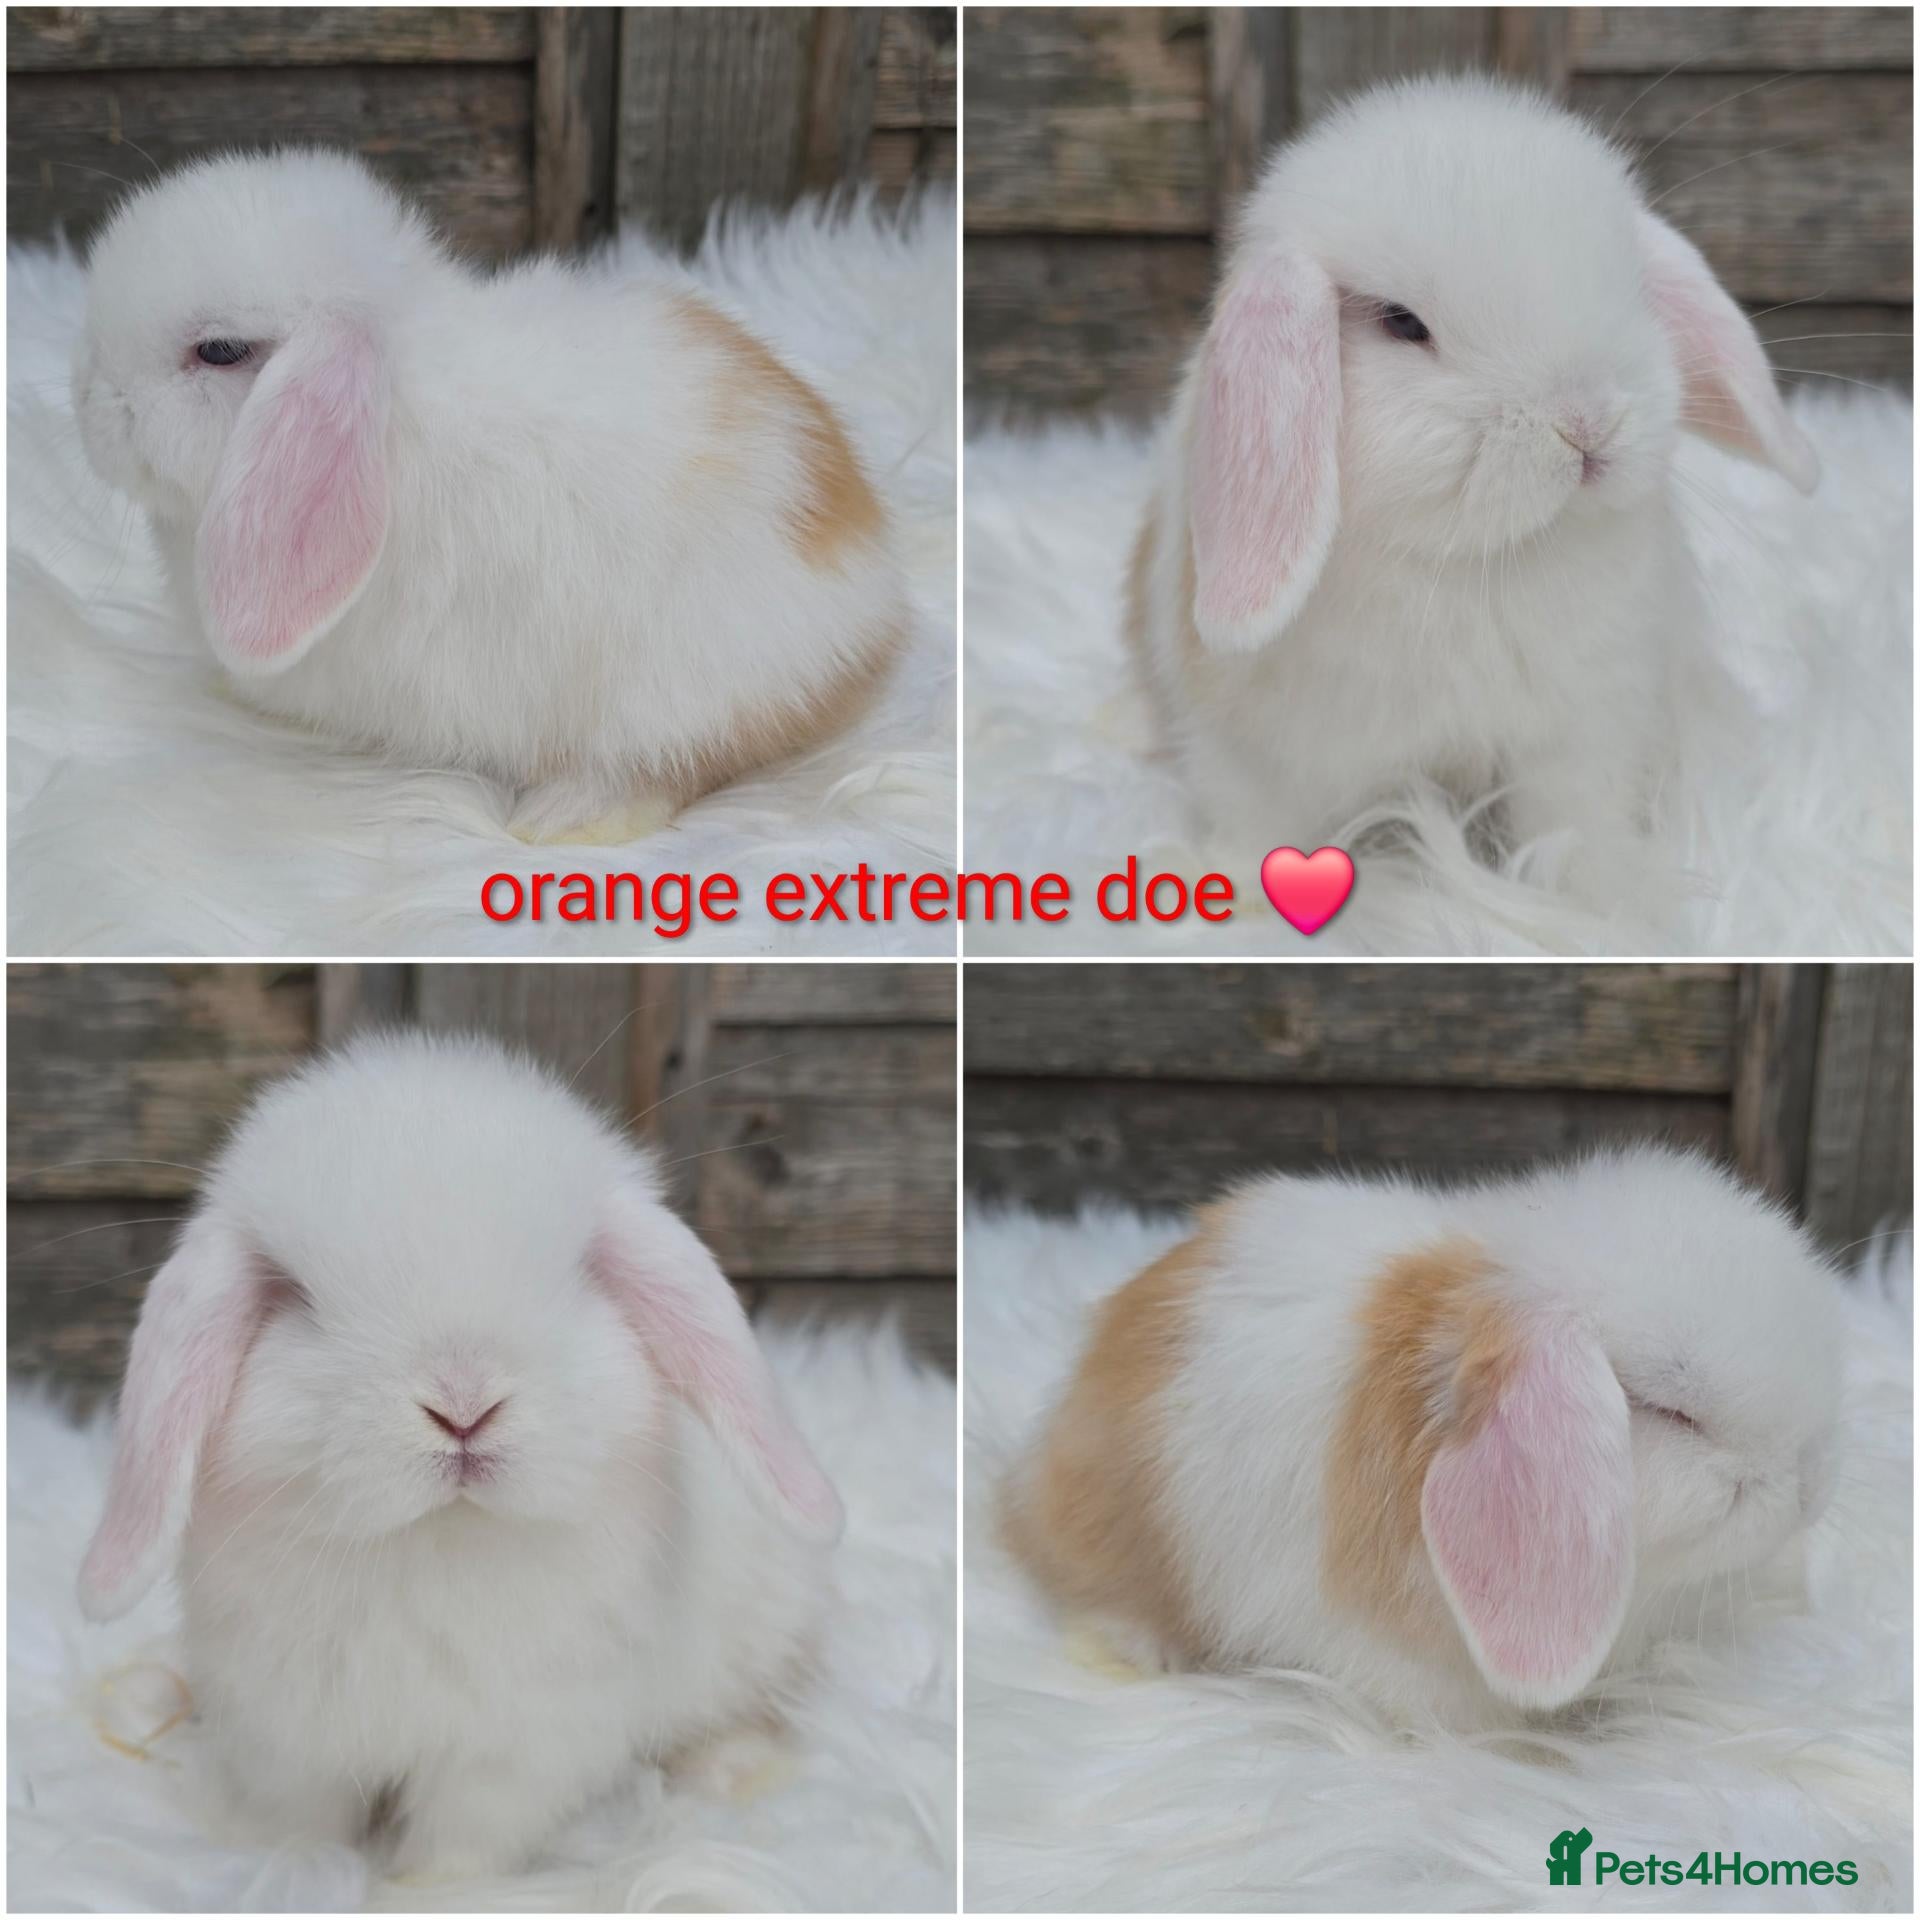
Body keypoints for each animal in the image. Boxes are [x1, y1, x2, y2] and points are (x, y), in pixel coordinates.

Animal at [72, 148, 909, 843]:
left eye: (218, 352)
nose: (89, 403)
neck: (396, 402)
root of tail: (872, 614)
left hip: (673, 691)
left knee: (679, 763)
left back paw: (567, 818)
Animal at [77, 1031, 843, 1879]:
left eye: (576, 1272)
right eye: (294, 1297)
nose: (464, 1407)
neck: (436, 1539)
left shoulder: (512, 1755)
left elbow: (458, 1844)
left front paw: (418, 1889)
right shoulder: (290, 1740)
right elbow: (306, 1825)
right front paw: (293, 1871)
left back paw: (731, 1769)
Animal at [1125, 76, 1819, 903]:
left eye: (1631, 285)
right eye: (1402, 323)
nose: (1587, 423)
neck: (1473, 566)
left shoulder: (1579, 734)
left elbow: (1570, 824)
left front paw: (1607, 892)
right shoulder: (1250, 757)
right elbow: (1258, 827)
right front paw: (1225, 892)